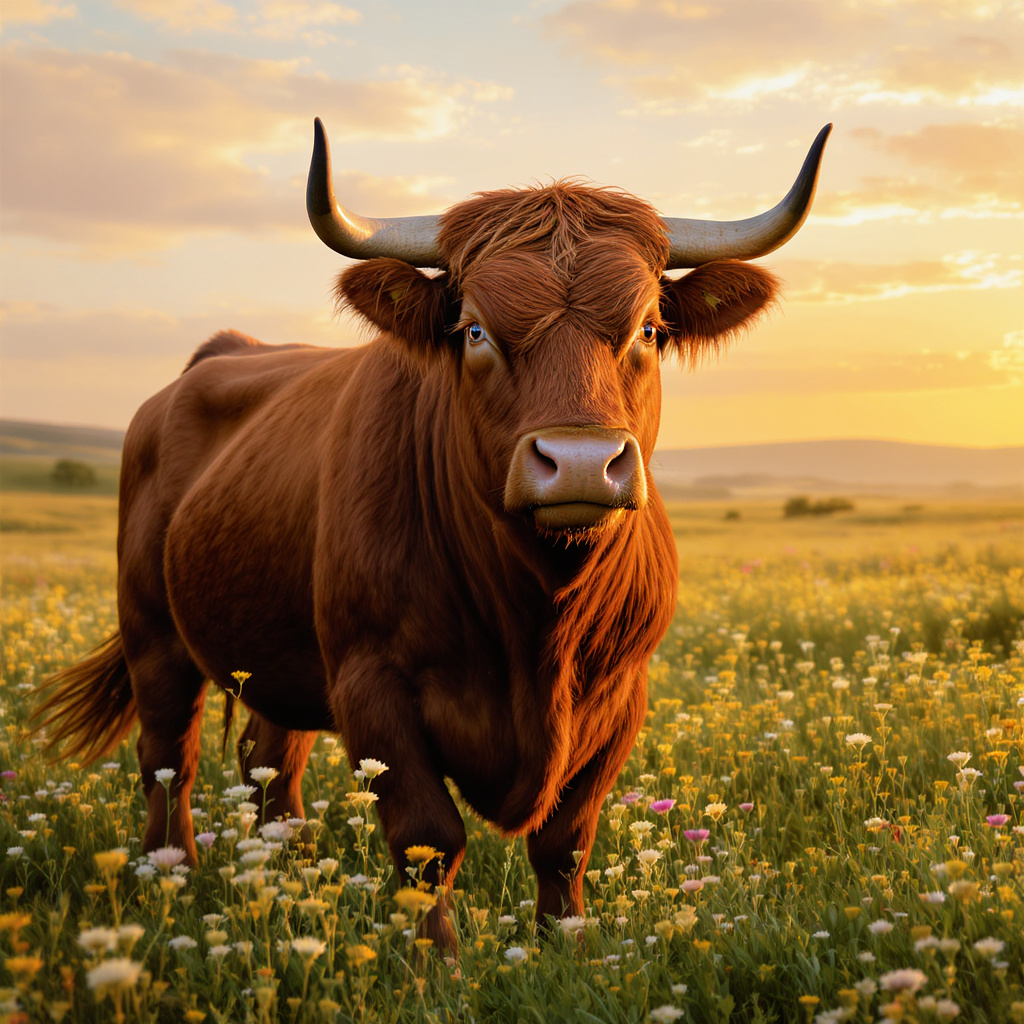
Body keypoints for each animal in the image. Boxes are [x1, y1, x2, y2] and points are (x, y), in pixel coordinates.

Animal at [36, 118, 830, 952]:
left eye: (648, 328)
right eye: (475, 329)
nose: (580, 463)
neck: (536, 616)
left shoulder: (621, 695)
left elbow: (565, 839)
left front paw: (570, 951)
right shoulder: (372, 686)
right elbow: (428, 840)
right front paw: (435, 965)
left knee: (269, 766)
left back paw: (292, 887)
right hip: (153, 633)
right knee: (169, 760)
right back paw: (176, 875)